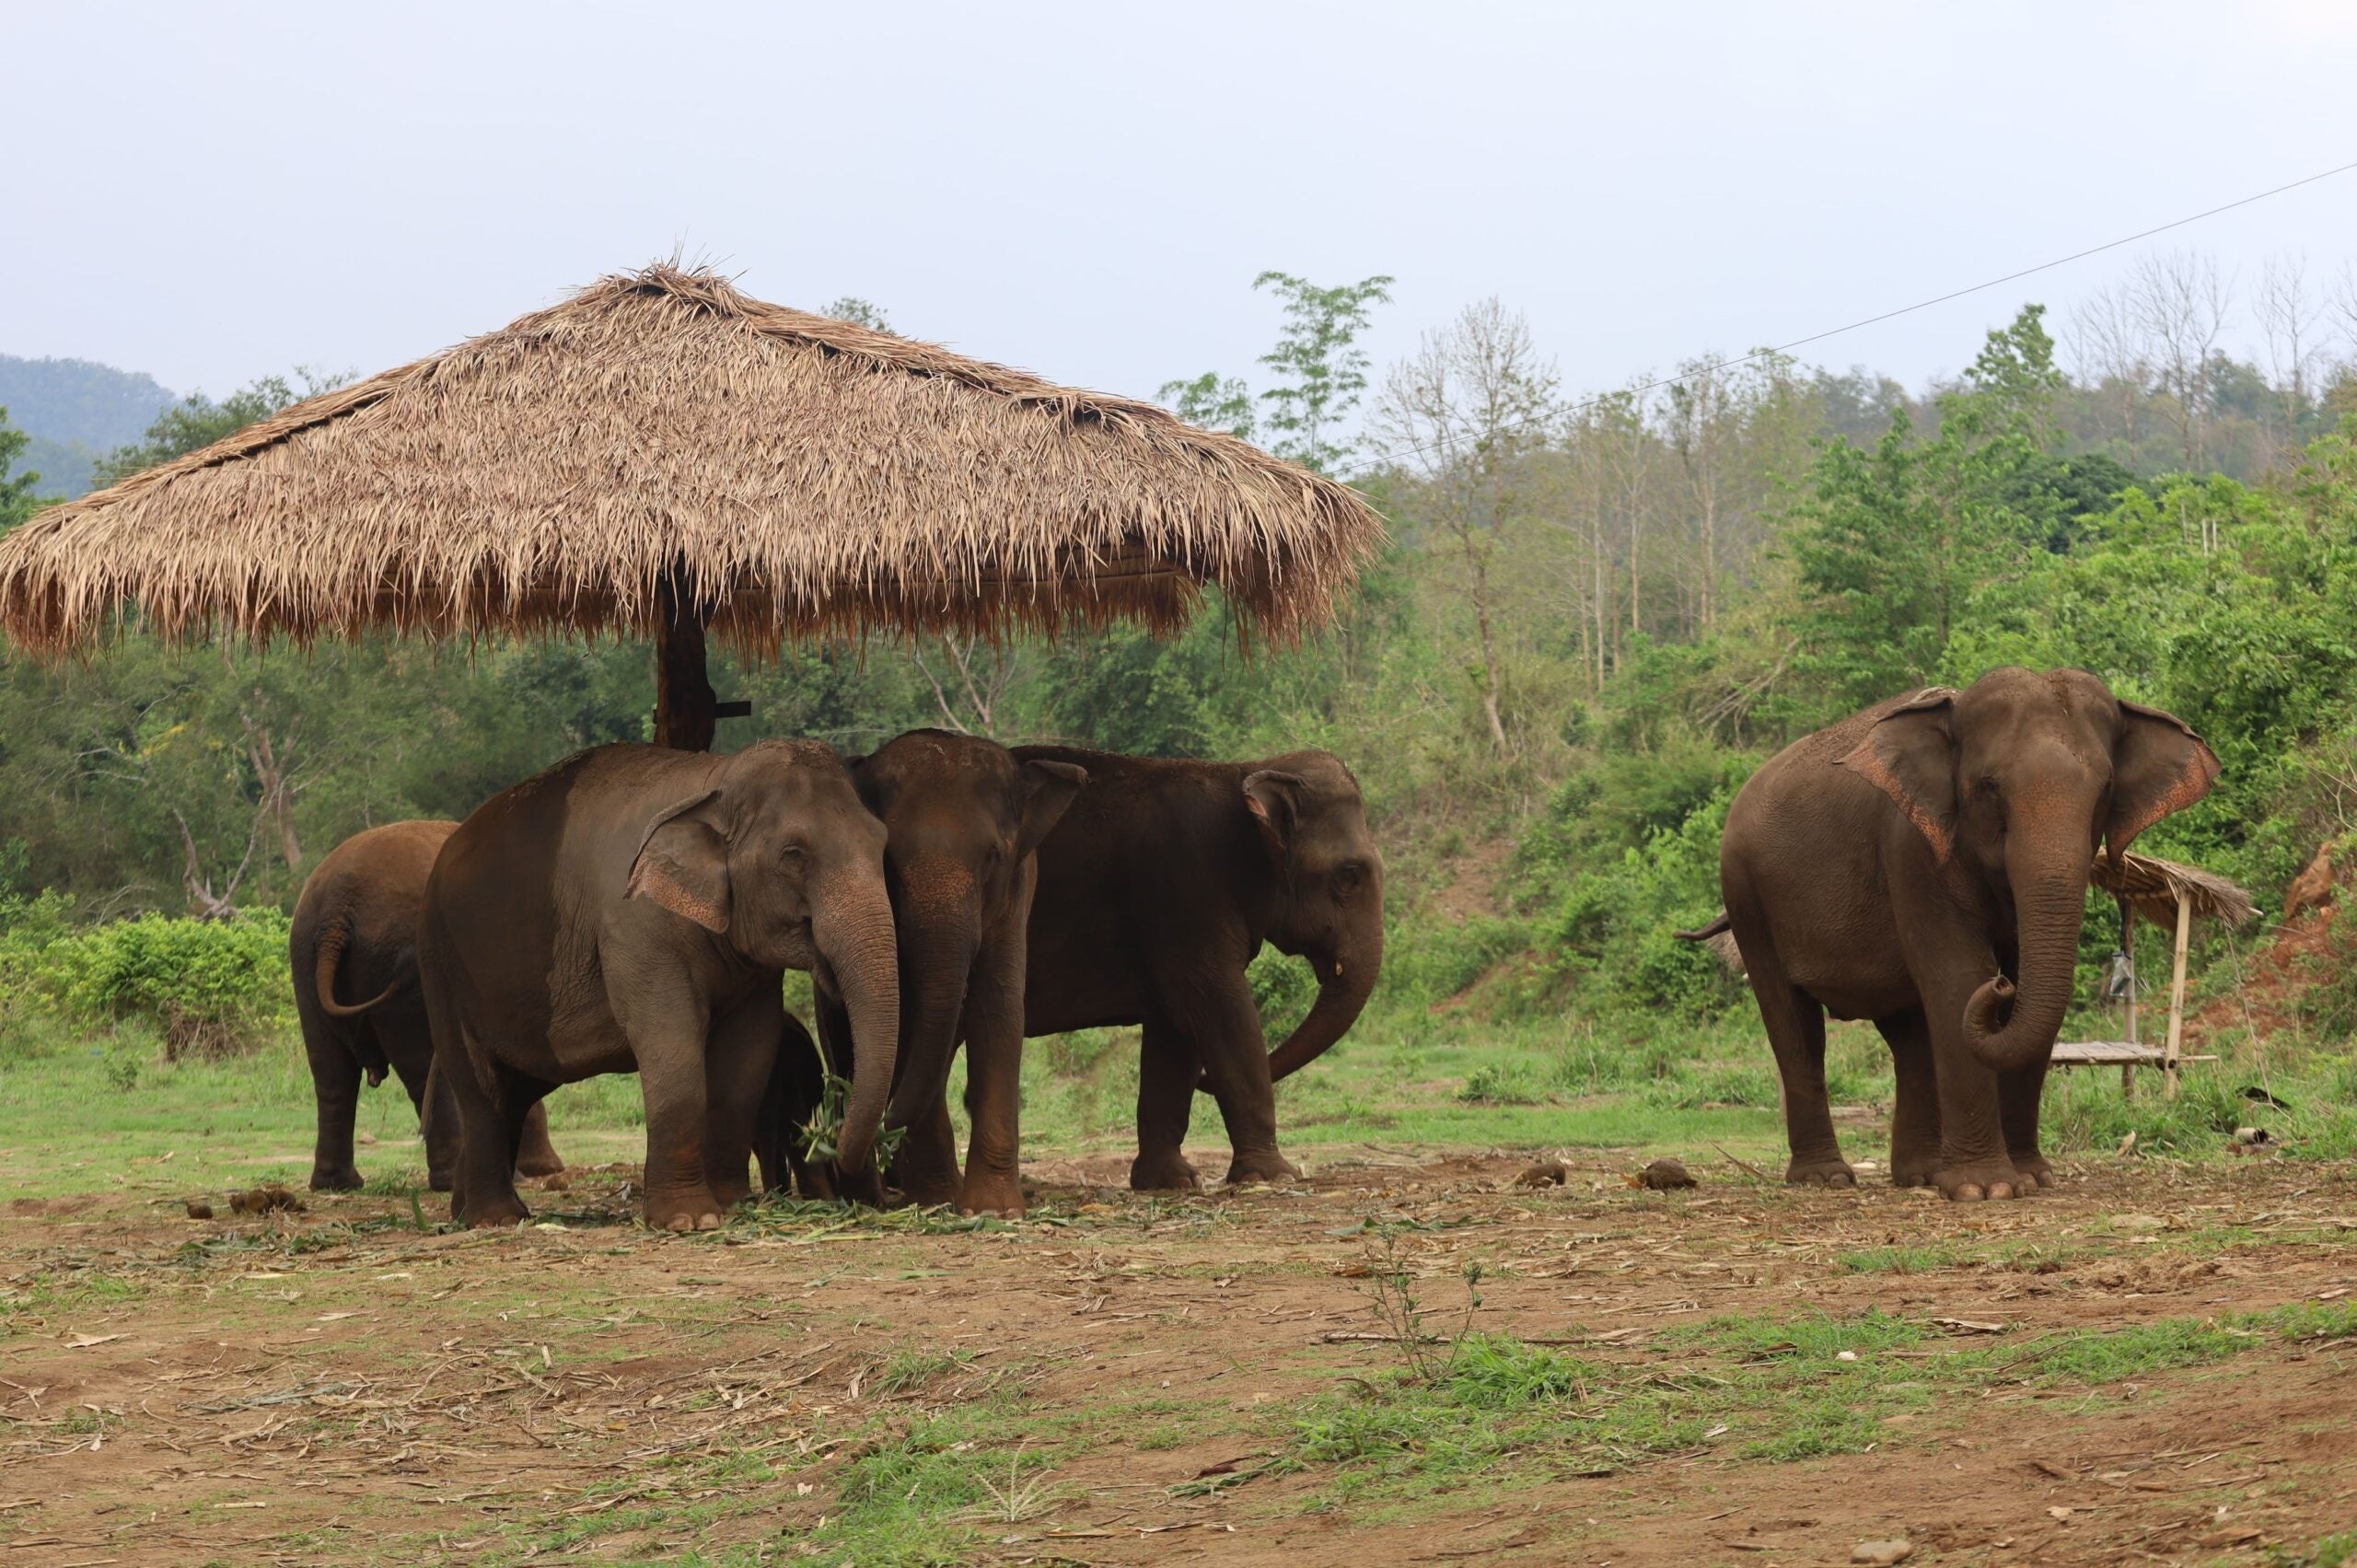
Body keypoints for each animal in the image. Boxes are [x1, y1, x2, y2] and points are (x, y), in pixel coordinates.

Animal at [290, 820, 561, 1192]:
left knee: (331, 1073)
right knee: (418, 1067)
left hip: (306, 959)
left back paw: (337, 1185)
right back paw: (451, 1182)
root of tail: (337, 909)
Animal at [420, 740, 899, 1231]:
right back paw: (495, 1219)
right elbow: (671, 1037)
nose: (834, 1144)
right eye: (793, 854)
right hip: (442, 967)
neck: (715, 779)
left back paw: (473, 1211)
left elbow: (748, 1054)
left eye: (881, 843)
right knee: (481, 1091)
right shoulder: (636, 927)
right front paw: (690, 1221)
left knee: (514, 1093)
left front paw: (732, 1205)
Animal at [1010, 744, 1385, 1192]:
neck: (1242, 772)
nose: (1205, 1082)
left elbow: (1174, 1029)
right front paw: (1274, 1176)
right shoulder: (1186, 889)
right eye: (1349, 876)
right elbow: (1218, 1007)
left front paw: (1170, 1181)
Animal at [1696, 668, 2218, 1201]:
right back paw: (1825, 1178)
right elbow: (1959, 975)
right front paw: (1986, 1189)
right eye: (1989, 787)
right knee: (1795, 1027)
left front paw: (2032, 1179)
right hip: (1746, 897)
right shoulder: (1911, 849)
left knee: (1909, 1037)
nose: (2001, 985)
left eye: (2106, 788)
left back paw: (1920, 1175)